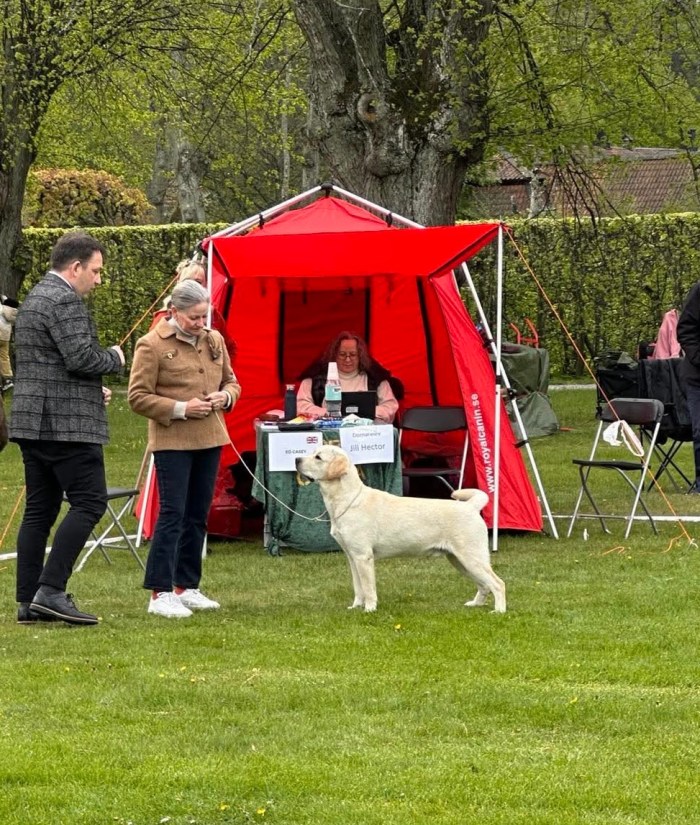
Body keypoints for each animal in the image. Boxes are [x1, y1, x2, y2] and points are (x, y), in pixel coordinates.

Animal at [295, 445, 506, 613]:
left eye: (318, 457)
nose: (296, 459)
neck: (347, 500)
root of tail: (471, 506)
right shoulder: (352, 557)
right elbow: (358, 587)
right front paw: (356, 607)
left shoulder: (363, 557)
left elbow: (368, 588)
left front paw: (369, 609)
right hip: (458, 560)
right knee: (484, 585)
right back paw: (475, 604)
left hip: (471, 557)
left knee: (498, 583)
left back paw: (499, 611)